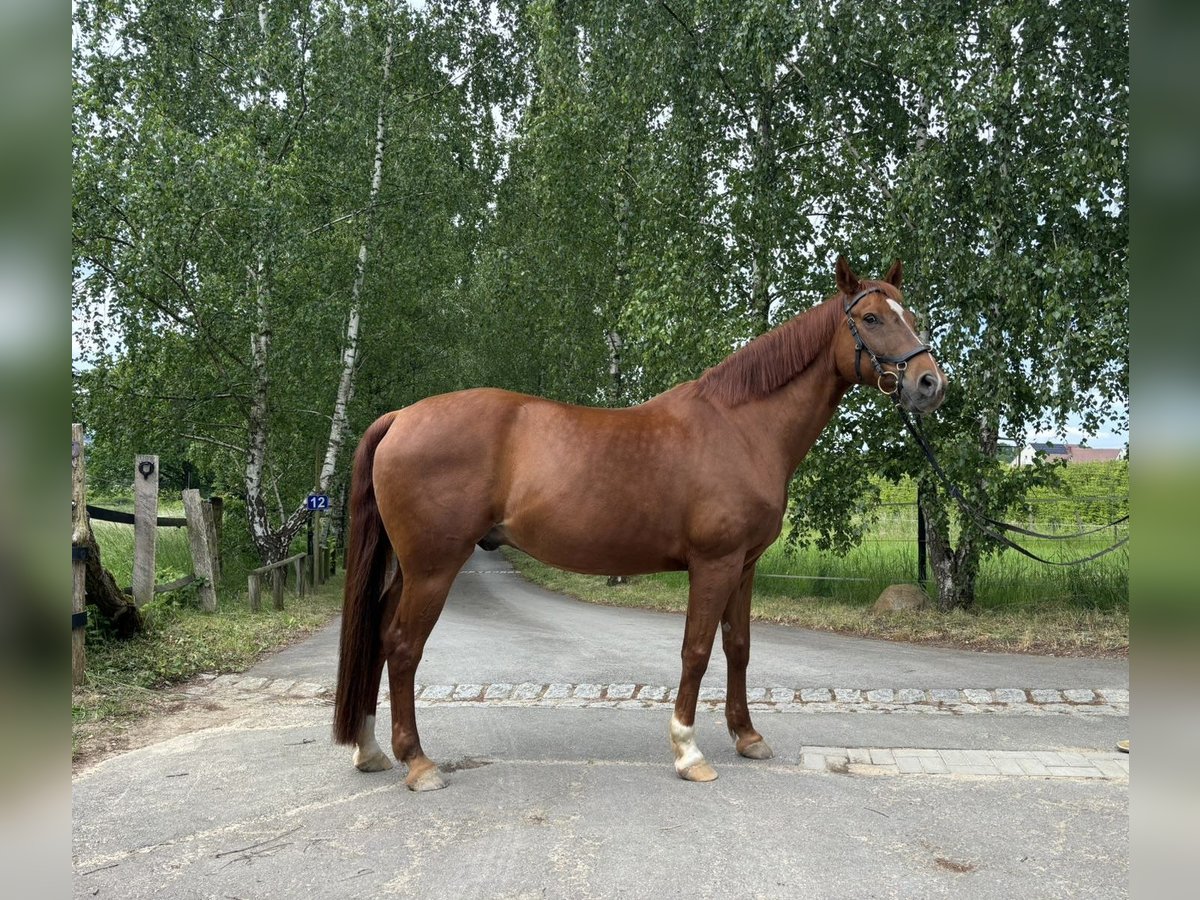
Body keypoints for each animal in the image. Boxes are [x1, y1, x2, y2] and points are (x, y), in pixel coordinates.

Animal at [333, 256, 940, 792]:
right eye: (871, 318)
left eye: (912, 313)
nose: (930, 383)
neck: (741, 427)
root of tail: (401, 417)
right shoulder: (714, 564)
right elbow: (697, 650)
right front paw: (689, 752)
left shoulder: (744, 566)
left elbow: (739, 647)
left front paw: (747, 737)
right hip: (434, 567)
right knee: (403, 646)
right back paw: (419, 763)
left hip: (409, 568)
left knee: (379, 636)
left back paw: (370, 749)